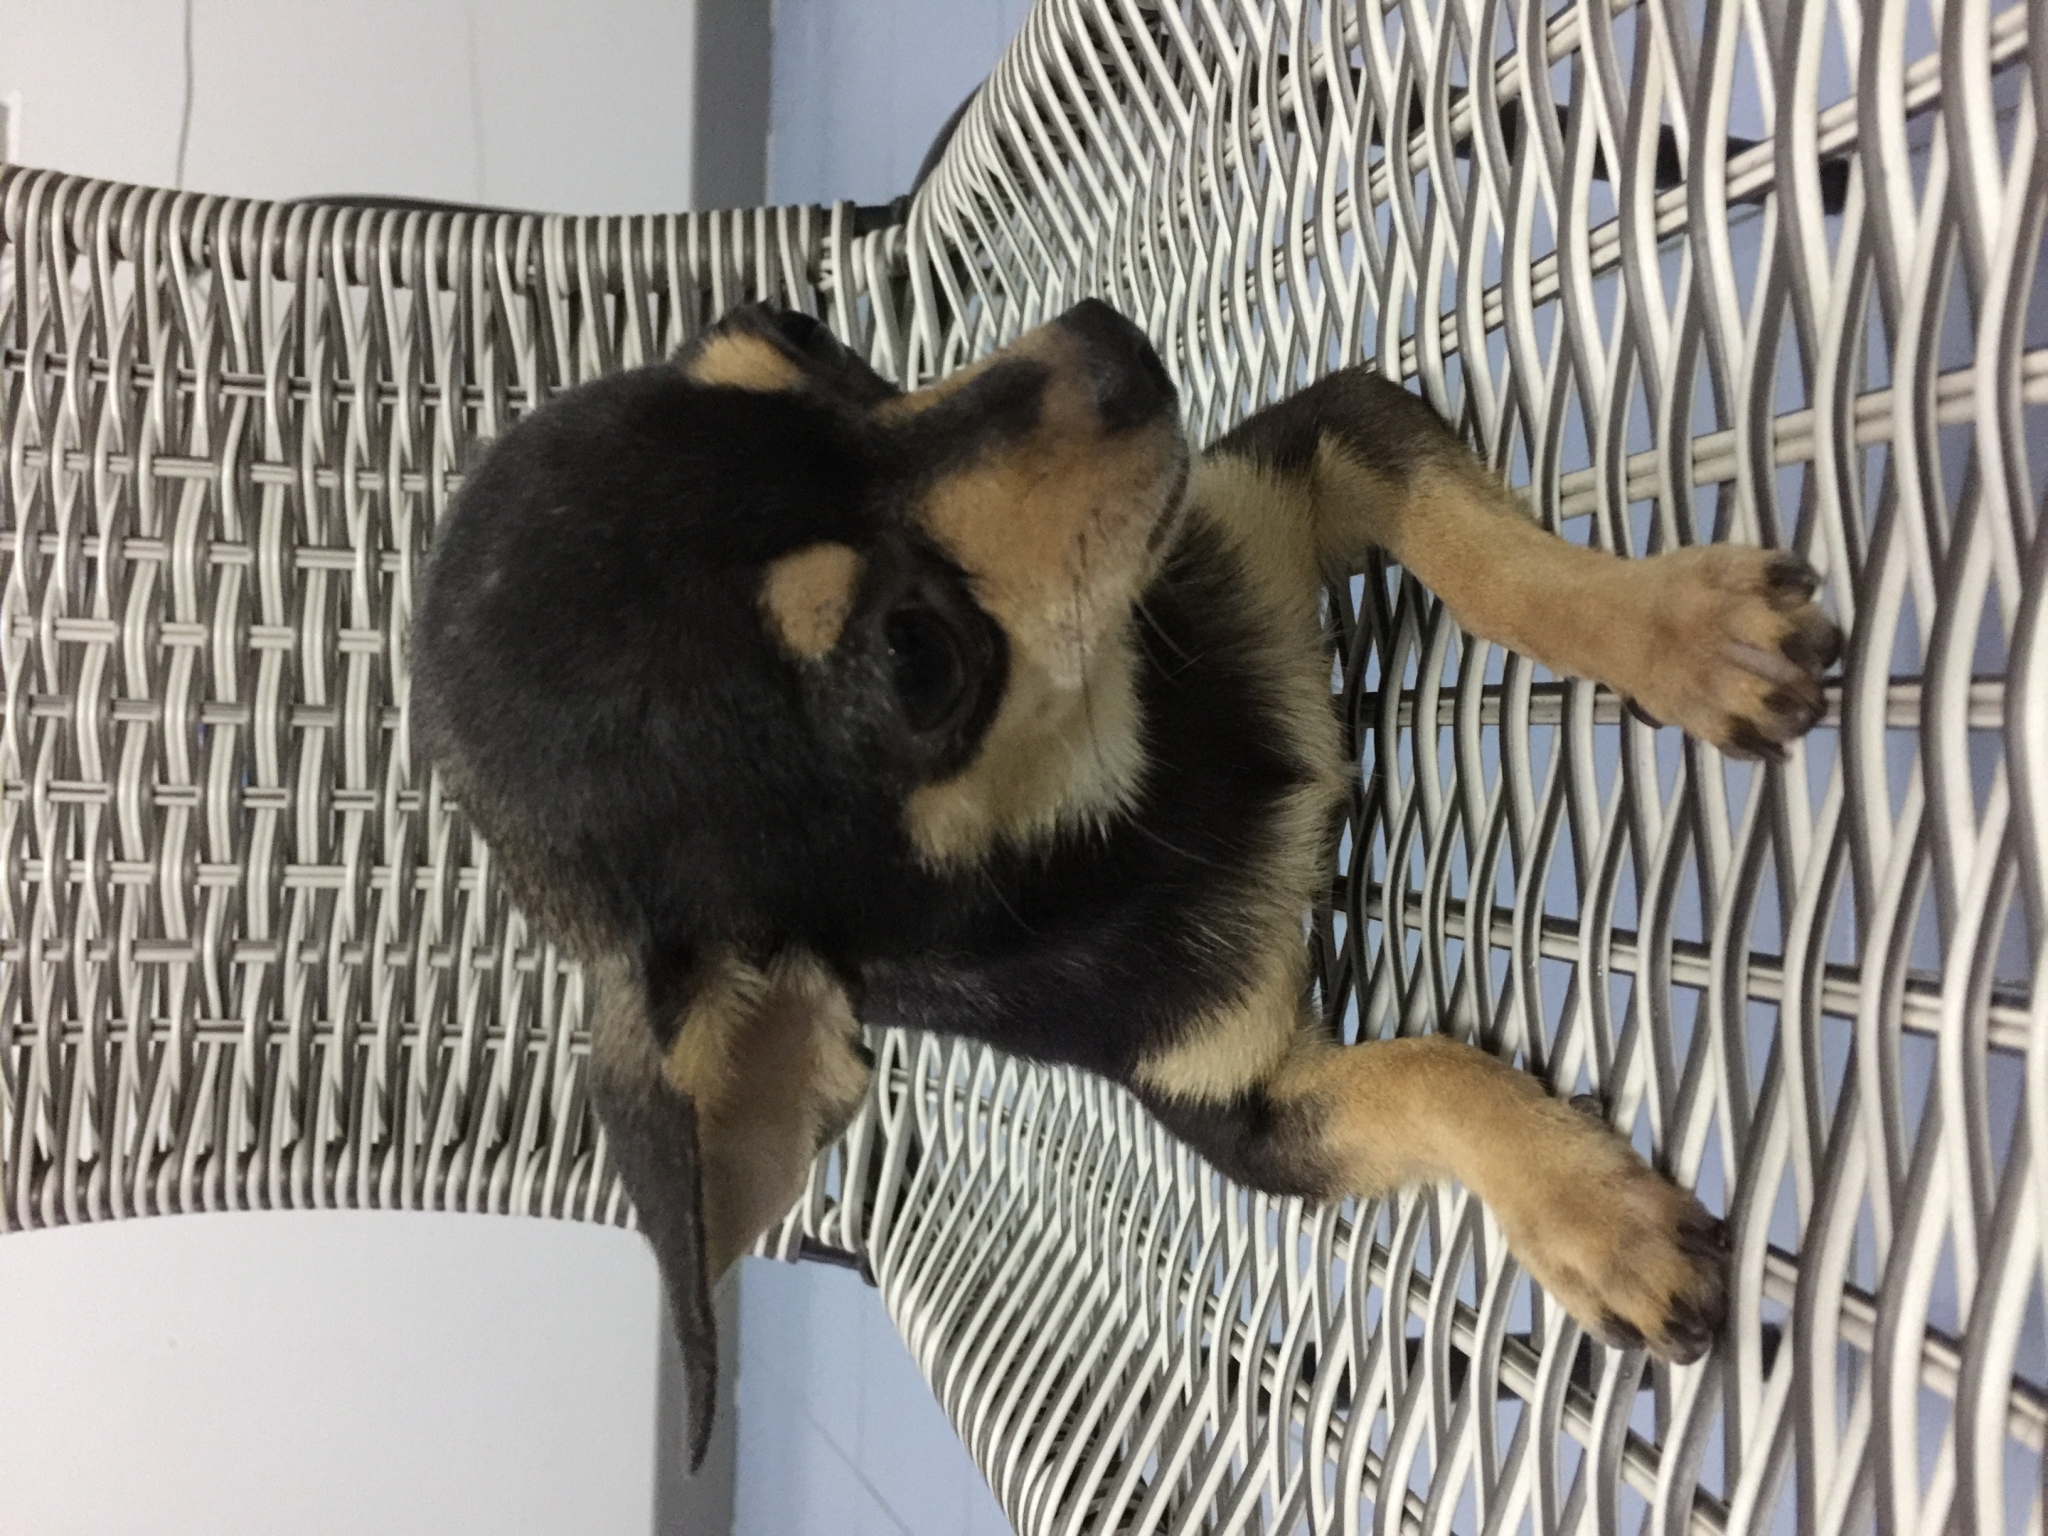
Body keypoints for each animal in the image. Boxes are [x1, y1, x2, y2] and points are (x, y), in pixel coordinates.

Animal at [414, 301, 1840, 1466]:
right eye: (914, 660)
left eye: (802, 339)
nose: (1107, 340)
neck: (1133, 761)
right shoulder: (1246, 1111)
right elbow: (1430, 1073)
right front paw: (1591, 1218)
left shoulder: (1308, 454)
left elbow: (1492, 567)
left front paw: (1679, 632)